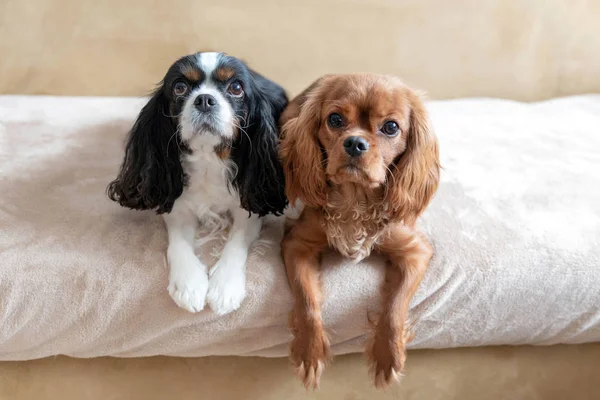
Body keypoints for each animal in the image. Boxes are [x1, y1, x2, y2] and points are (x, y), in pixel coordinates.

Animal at [109, 52, 290, 316]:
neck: (208, 159)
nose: (204, 99)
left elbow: (237, 241)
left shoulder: (249, 206)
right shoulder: (177, 207)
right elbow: (178, 243)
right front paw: (189, 285)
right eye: (180, 87)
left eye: (236, 88)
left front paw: (225, 288)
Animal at [278, 74, 440, 388]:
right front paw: (310, 352)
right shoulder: (296, 243)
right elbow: (306, 300)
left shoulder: (416, 251)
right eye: (335, 119)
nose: (354, 143)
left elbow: (395, 306)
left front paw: (388, 356)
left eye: (391, 127)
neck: (355, 199)